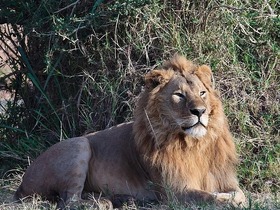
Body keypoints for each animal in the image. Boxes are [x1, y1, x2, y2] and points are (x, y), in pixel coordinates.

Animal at [14, 55, 245, 208]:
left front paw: (233, 198)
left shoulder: (223, 179)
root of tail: (23, 182)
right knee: (69, 202)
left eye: (202, 93)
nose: (199, 111)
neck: (193, 144)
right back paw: (102, 202)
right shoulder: (173, 192)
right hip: (79, 145)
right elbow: (209, 197)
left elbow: (239, 194)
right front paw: (225, 200)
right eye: (179, 95)